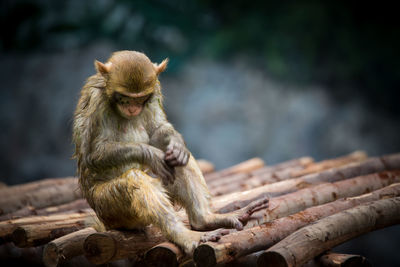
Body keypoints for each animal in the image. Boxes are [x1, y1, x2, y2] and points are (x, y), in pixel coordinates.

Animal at [72, 50, 268, 255]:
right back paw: (187, 236)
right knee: (135, 179)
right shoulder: (97, 101)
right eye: (124, 97)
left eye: (140, 98)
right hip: (111, 211)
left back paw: (203, 220)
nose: (132, 107)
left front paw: (176, 144)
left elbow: (158, 131)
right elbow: (93, 155)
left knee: (178, 162)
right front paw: (152, 155)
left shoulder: (155, 90)